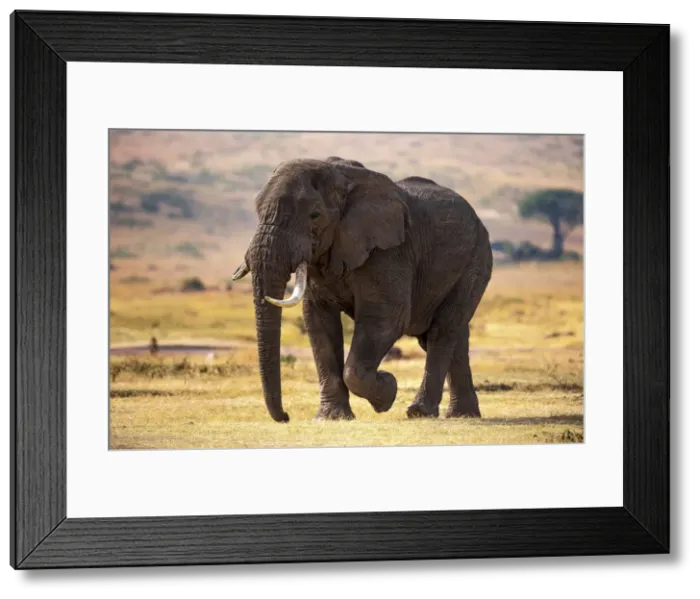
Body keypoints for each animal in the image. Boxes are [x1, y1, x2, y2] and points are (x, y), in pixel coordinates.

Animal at [230, 156, 493, 423]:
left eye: (315, 215)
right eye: (258, 210)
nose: (285, 416)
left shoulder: (389, 253)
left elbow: (386, 320)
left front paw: (387, 389)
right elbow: (318, 322)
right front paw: (331, 417)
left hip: (476, 260)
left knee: (442, 331)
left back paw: (420, 412)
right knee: (450, 335)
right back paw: (463, 415)